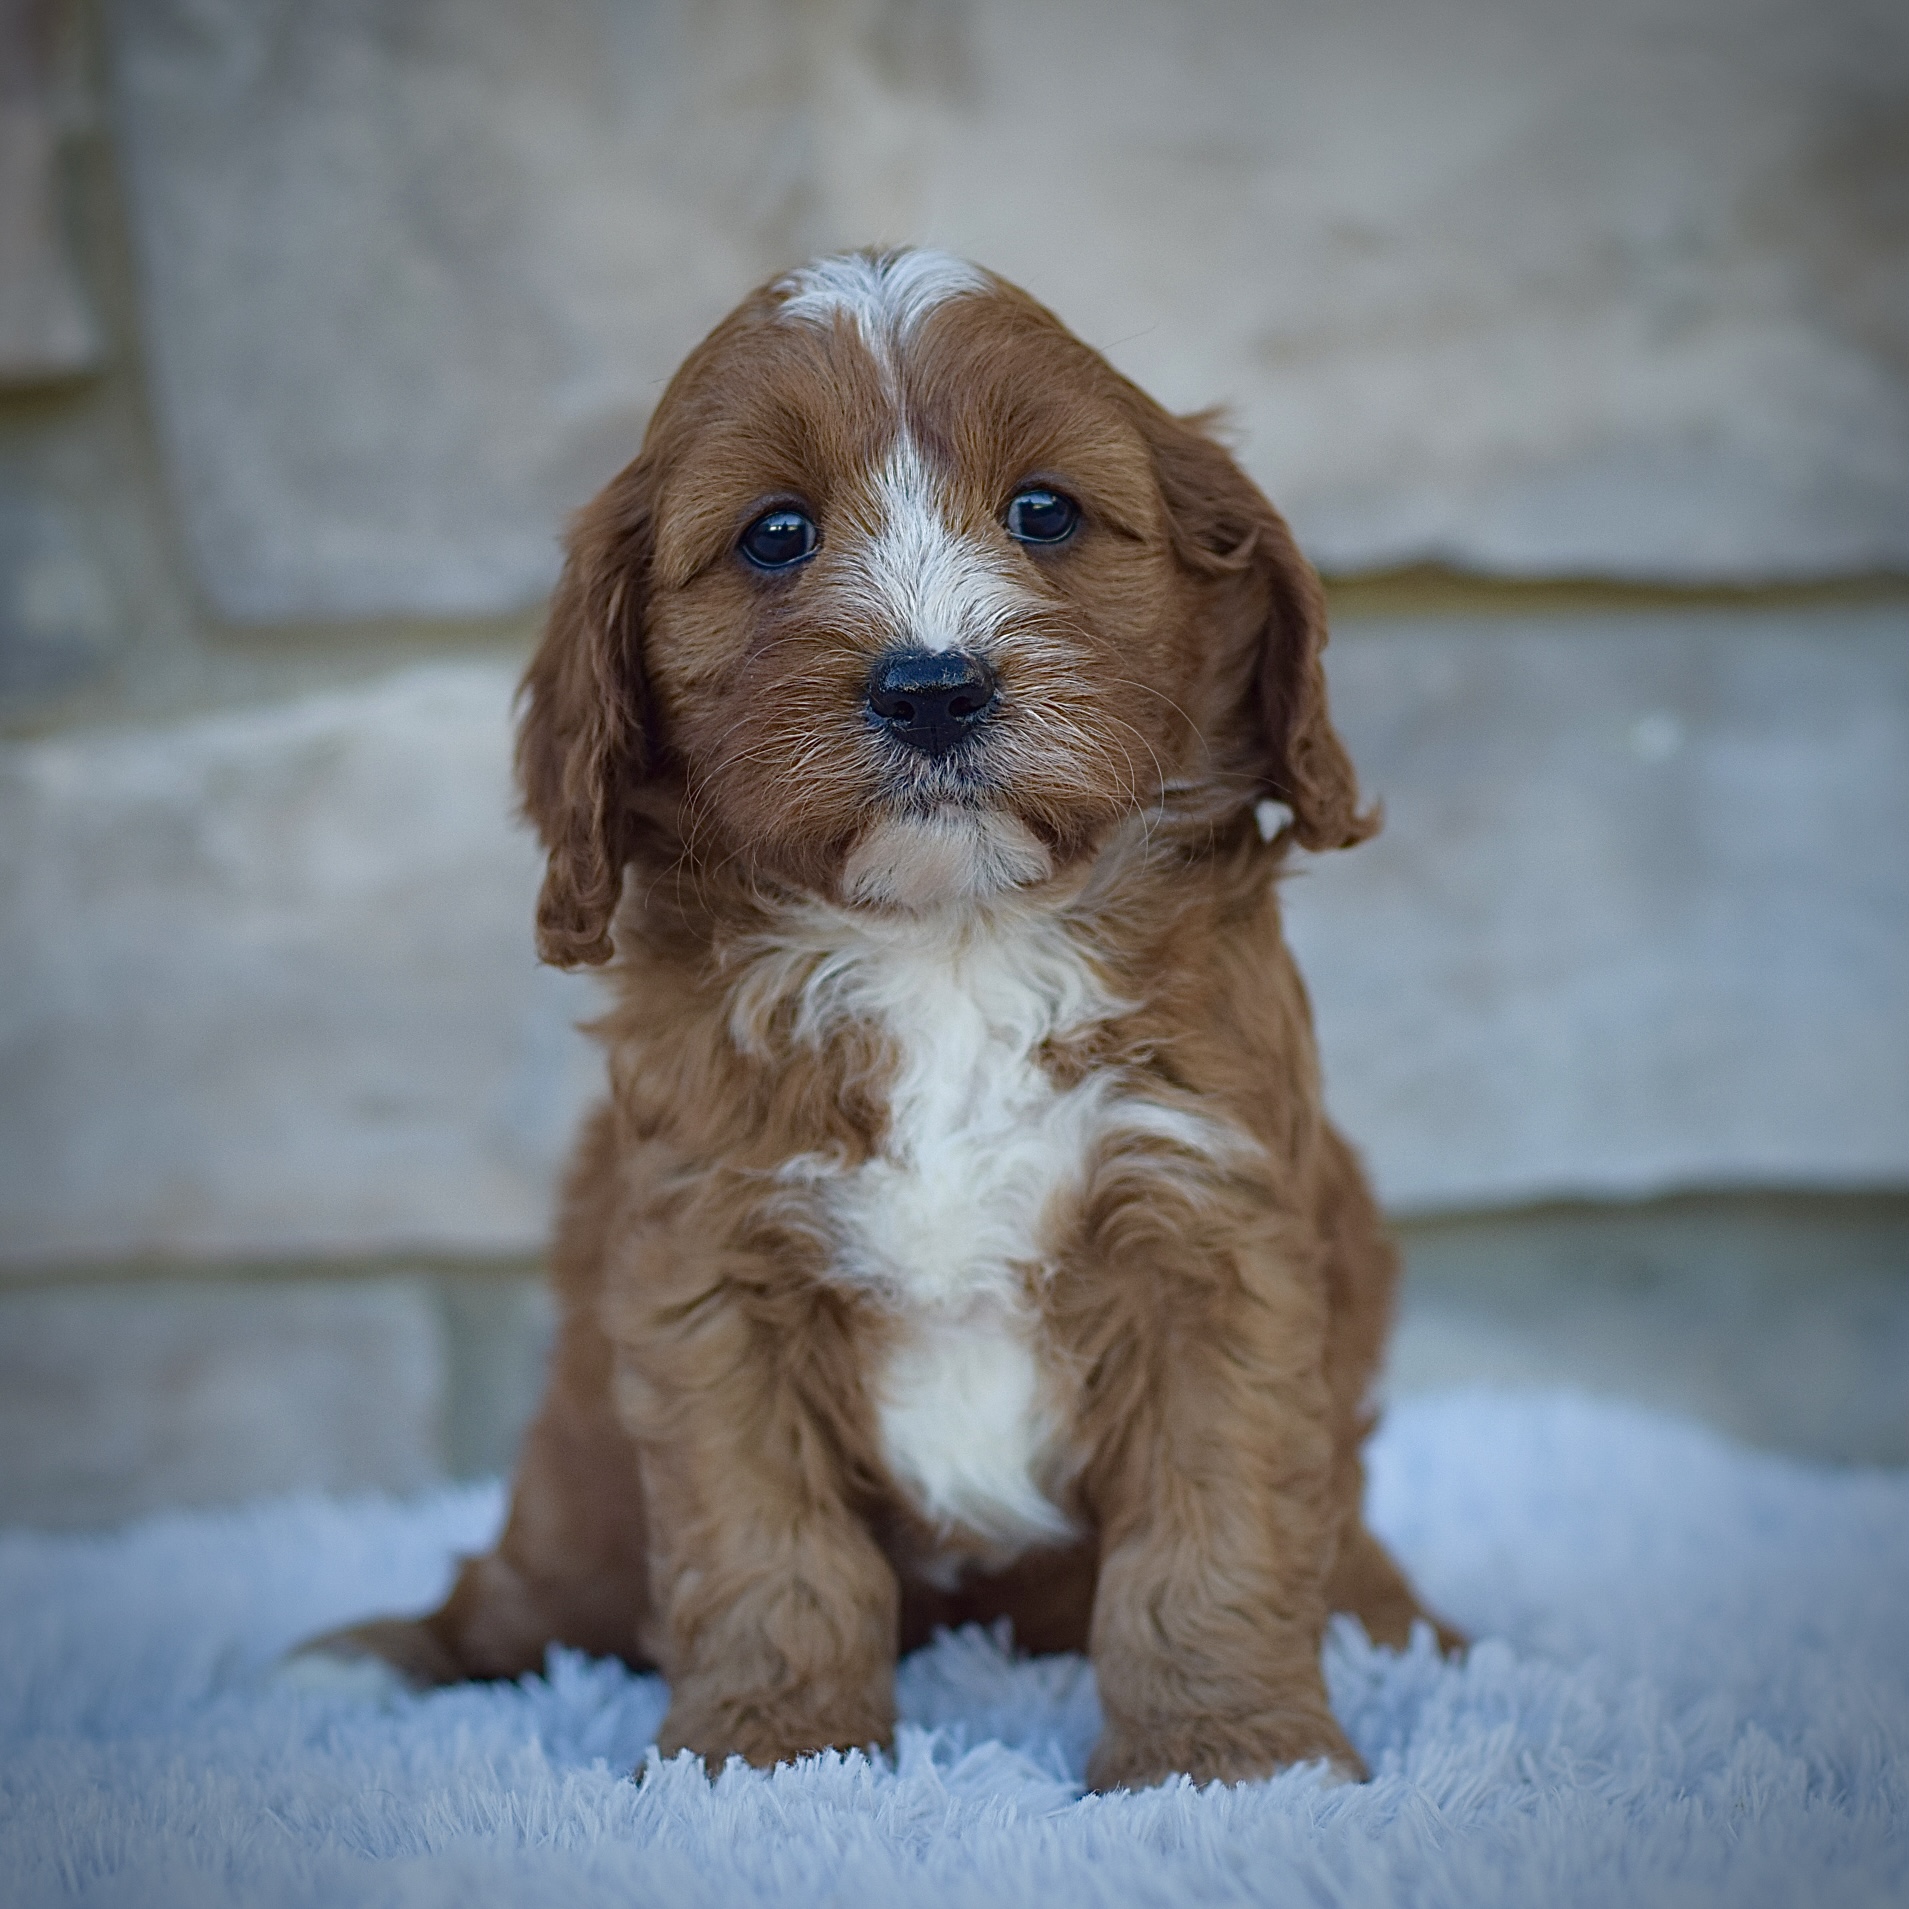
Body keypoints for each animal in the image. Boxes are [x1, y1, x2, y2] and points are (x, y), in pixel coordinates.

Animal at [305, 250, 1450, 1786]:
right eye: (776, 535)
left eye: (1045, 511)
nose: (932, 685)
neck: (948, 945)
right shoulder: (712, 1266)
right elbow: (770, 1551)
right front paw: (768, 1756)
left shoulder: (1210, 1226)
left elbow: (1215, 1535)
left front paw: (1229, 1759)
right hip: (574, 1494)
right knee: (517, 1595)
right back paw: (373, 1661)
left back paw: (1401, 1626)